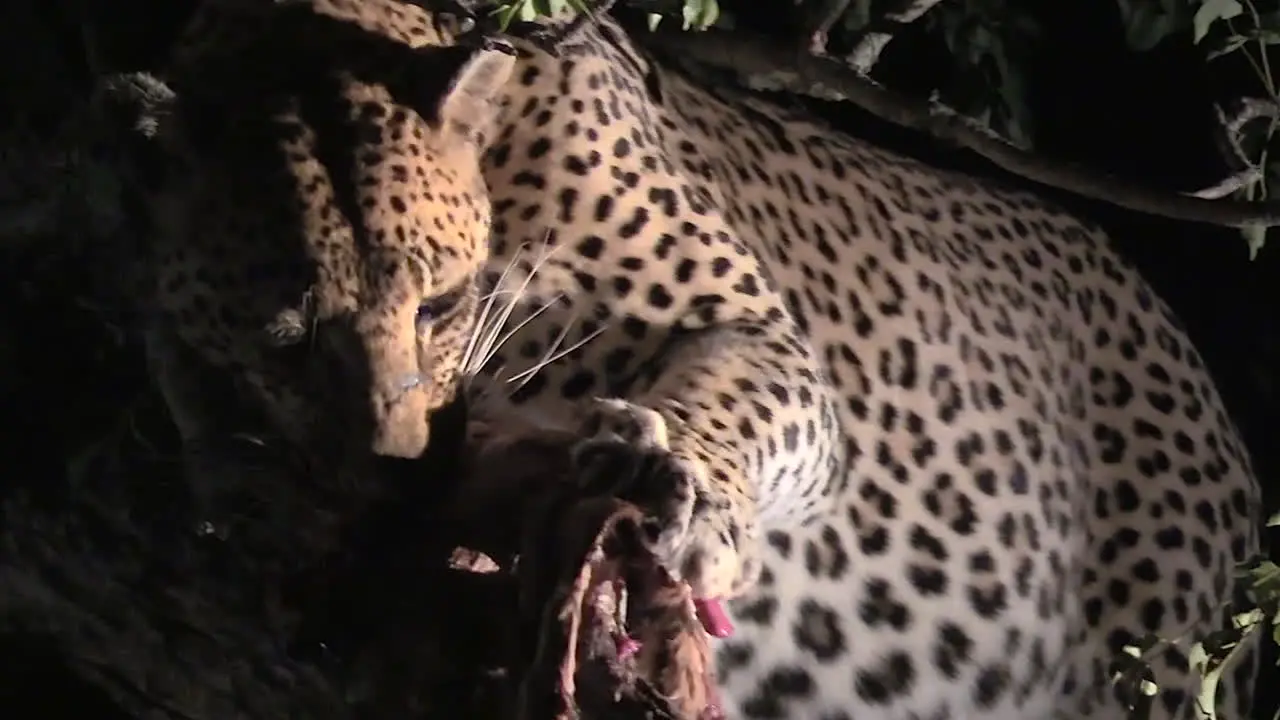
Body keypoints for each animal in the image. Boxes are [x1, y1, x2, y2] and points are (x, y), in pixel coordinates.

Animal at [124, 1, 1264, 717]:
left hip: (1152, 656)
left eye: (439, 304)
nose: (402, 470)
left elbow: (738, 392)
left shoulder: (743, 321)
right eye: (285, 344)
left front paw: (682, 484)